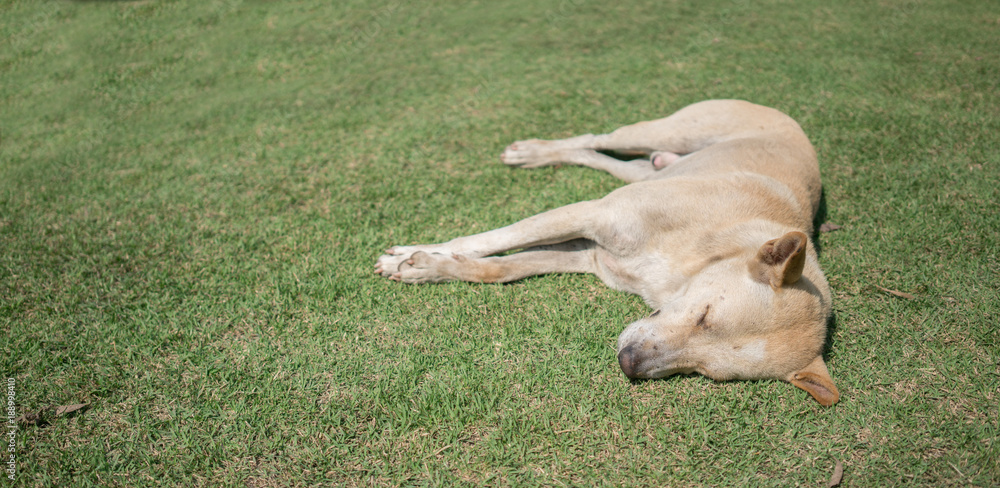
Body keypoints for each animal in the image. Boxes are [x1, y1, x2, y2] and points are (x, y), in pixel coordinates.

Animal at [374, 99, 836, 404]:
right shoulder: (592, 215)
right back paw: (535, 151)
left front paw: (429, 267)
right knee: (598, 137)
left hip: (649, 167)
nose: (628, 363)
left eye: (705, 371)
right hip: (665, 130)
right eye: (705, 316)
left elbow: (502, 268)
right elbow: (492, 240)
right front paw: (413, 255)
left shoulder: (588, 254)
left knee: (609, 159)